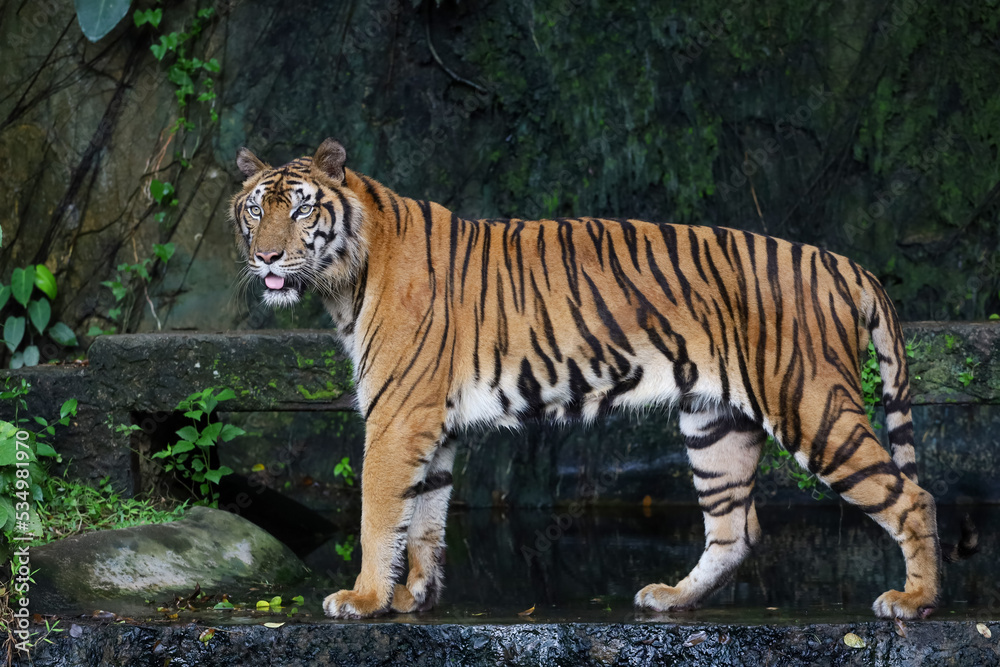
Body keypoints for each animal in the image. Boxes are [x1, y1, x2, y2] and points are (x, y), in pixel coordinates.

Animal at [236, 140, 944, 620]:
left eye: (301, 212)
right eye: (253, 213)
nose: (266, 256)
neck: (344, 280)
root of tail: (841, 261)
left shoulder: (396, 416)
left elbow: (381, 514)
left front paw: (361, 598)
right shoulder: (431, 423)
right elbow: (428, 517)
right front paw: (414, 596)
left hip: (811, 406)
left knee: (911, 495)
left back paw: (914, 600)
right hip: (715, 424)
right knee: (735, 530)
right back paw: (671, 596)